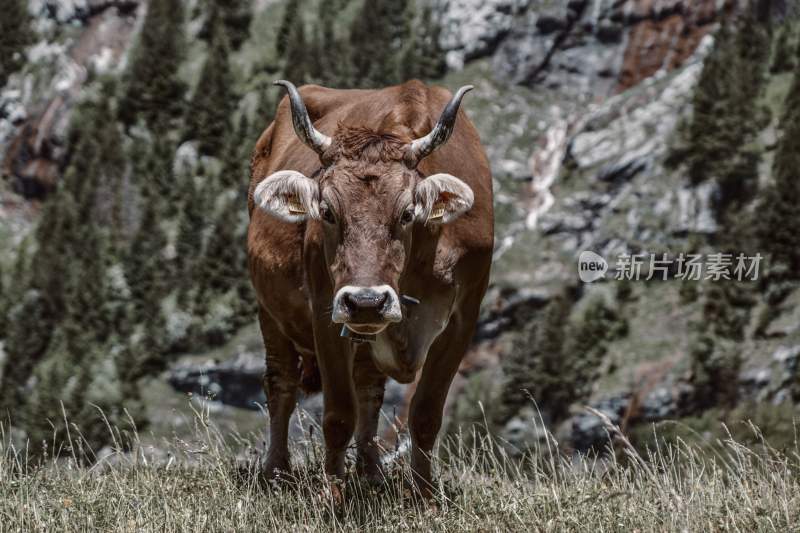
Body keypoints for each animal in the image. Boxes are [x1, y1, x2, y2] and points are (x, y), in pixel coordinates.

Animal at [247, 79, 490, 494]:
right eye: (327, 211)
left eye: (407, 213)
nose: (365, 301)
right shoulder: (326, 310)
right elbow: (338, 416)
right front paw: (333, 496)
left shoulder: (464, 318)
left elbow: (425, 414)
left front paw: (425, 496)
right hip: (270, 309)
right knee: (281, 382)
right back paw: (277, 472)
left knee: (369, 390)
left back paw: (371, 471)